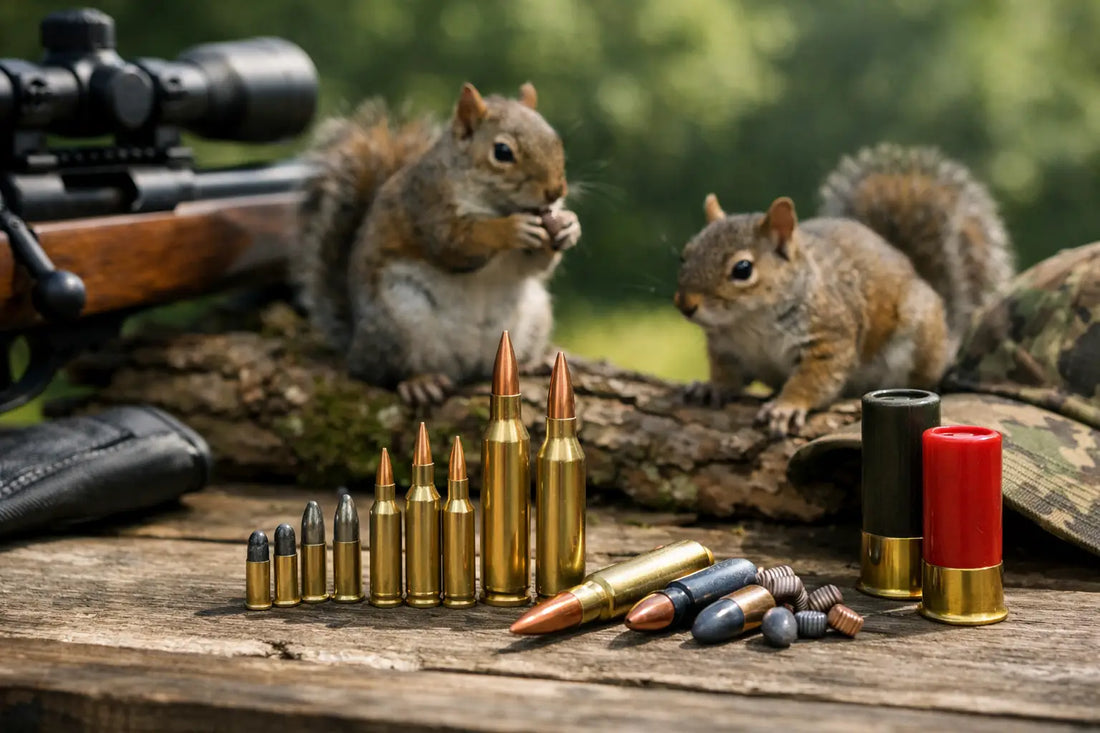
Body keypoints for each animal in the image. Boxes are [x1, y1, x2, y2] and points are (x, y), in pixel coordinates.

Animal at [294, 82, 581, 405]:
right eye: (502, 152)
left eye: (555, 140)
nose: (555, 192)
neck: (496, 204)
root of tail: (356, 344)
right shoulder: (429, 208)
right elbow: (457, 244)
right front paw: (510, 228)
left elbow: (534, 266)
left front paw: (568, 226)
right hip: (398, 322)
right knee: (384, 373)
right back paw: (419, 382)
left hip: (535, 314)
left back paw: (535, 363)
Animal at [674, 143, 1014, 436]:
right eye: (685, 255)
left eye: (742, 269)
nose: (684, 305)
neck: (749, 322)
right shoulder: (727, 348)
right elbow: (727, 374)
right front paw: (711, 387)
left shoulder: (828, 336)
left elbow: (812, 380)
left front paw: (786, 406)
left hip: (919, 341)